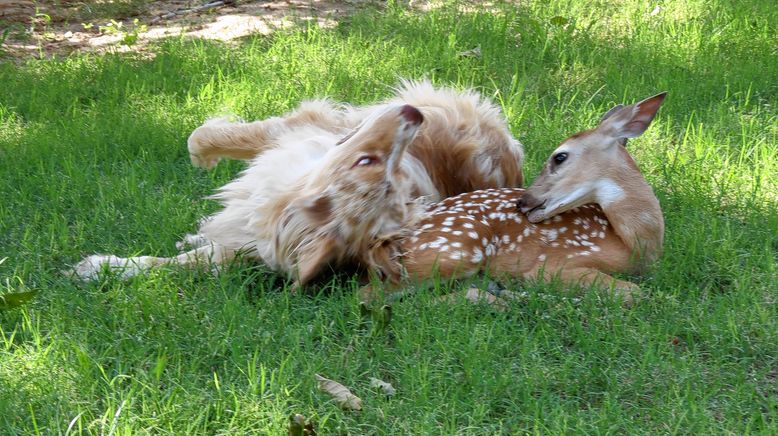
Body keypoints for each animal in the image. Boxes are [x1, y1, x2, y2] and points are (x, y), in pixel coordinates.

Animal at [73, 82, 524, 286]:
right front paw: (205, 159)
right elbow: (202, 136)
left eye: (383, 169)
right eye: (370, 162)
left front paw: (103, 266)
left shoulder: (247, 248)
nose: (414, 116)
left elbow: (175, 264)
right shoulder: (292, 135)